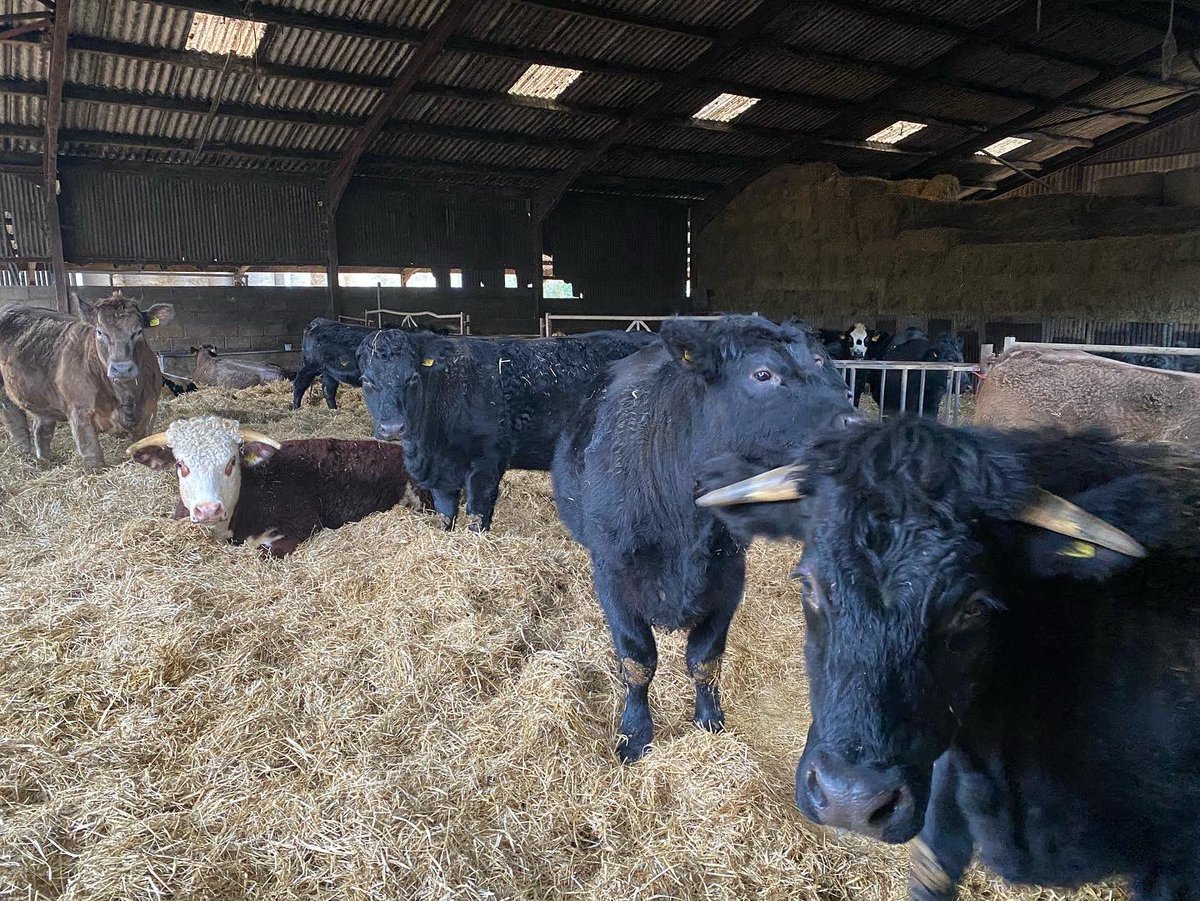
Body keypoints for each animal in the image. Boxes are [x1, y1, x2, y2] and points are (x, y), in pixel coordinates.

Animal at [0, 293, 174, 470]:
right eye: (100, 332)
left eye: (138, 331)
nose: (122, 368)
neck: (125, 395)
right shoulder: (80, 412)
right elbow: (92, 456)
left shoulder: (149, 410)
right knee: (14, 420)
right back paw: (24, 455)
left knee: (42, 428)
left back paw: (44, 460)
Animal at [358, 328, 657, 532]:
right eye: (366, 381)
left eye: (412, 378)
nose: (393, 427)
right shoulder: (441, 473)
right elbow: (445, 515)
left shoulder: (487, 461)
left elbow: (477, 513)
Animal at [551, 315, 857, 763]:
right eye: (762, 374)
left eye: (819, 360)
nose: (856, 429)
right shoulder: (612, 574)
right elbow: (637, 661)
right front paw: (635, 733)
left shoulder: (728, 575)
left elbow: (705, 659)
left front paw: (710, 719)